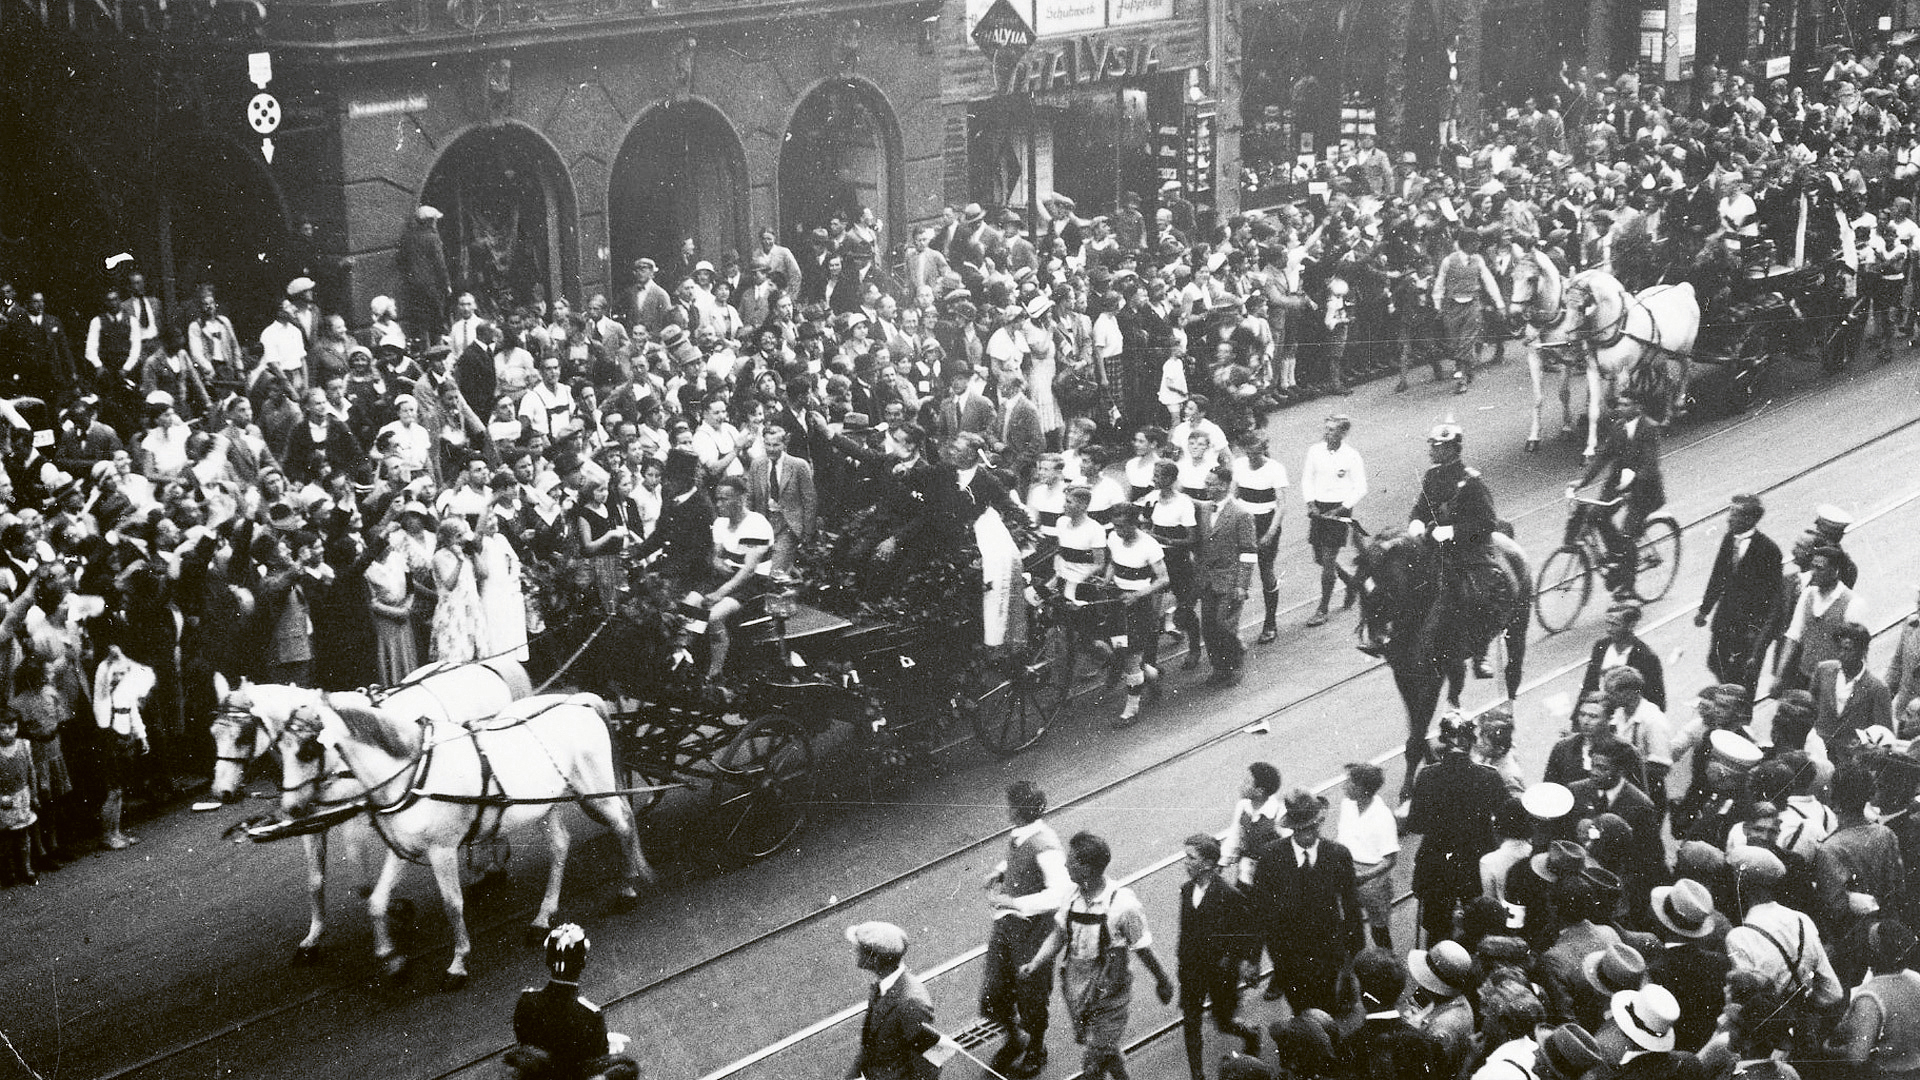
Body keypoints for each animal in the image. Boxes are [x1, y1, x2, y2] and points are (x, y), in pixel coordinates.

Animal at [210, 657, 533, 957]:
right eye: (213, 733)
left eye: (244, 736)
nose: (221, 792)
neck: (335, 758)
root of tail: (484, 665)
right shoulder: (311, 818)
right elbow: (315, 881)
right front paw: (314, 936)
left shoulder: (353, 815)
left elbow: (361, 883)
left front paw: (399, 909)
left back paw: (491, 861)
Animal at [274, 687, 656, 983]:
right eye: (278, 751)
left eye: (308, 750)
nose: (291, 808)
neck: (412, 773)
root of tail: (577, 700)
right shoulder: (403, 849)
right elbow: (377, 902)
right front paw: (391, 959)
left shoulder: (441, 850)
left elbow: (452, 903)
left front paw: (457, 963)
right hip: (545, 806)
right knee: (562, 846)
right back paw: (542, 918)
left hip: (594, 790)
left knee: (623, 822)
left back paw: (629, 886)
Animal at [1359, 530, 1536, 799]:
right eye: (1360, 590)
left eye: (1385, 589)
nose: (1377, 641)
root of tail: (1507, 542)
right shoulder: (1404, 676)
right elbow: (1416, 725)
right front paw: (1432, 756)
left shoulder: (1432, 678)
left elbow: (1417, 732)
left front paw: (1407, 789)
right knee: (1457, 689)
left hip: (1517, 623)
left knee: (1512, 674)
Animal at [1536, 270, 1704, 455]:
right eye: (1564, 304)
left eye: (1581, 307)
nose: (1565, 338)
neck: (1616, 328)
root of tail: (1682, 288)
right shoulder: (1593, 371)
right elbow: (1595, 409)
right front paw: (1590, 448)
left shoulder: (1623, 374)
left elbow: (1620, 408)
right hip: (1658, 359)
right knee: (1668, 381)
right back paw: (1666, 419)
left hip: (1684, 351)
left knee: (1686, 370)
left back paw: (1679, 405)